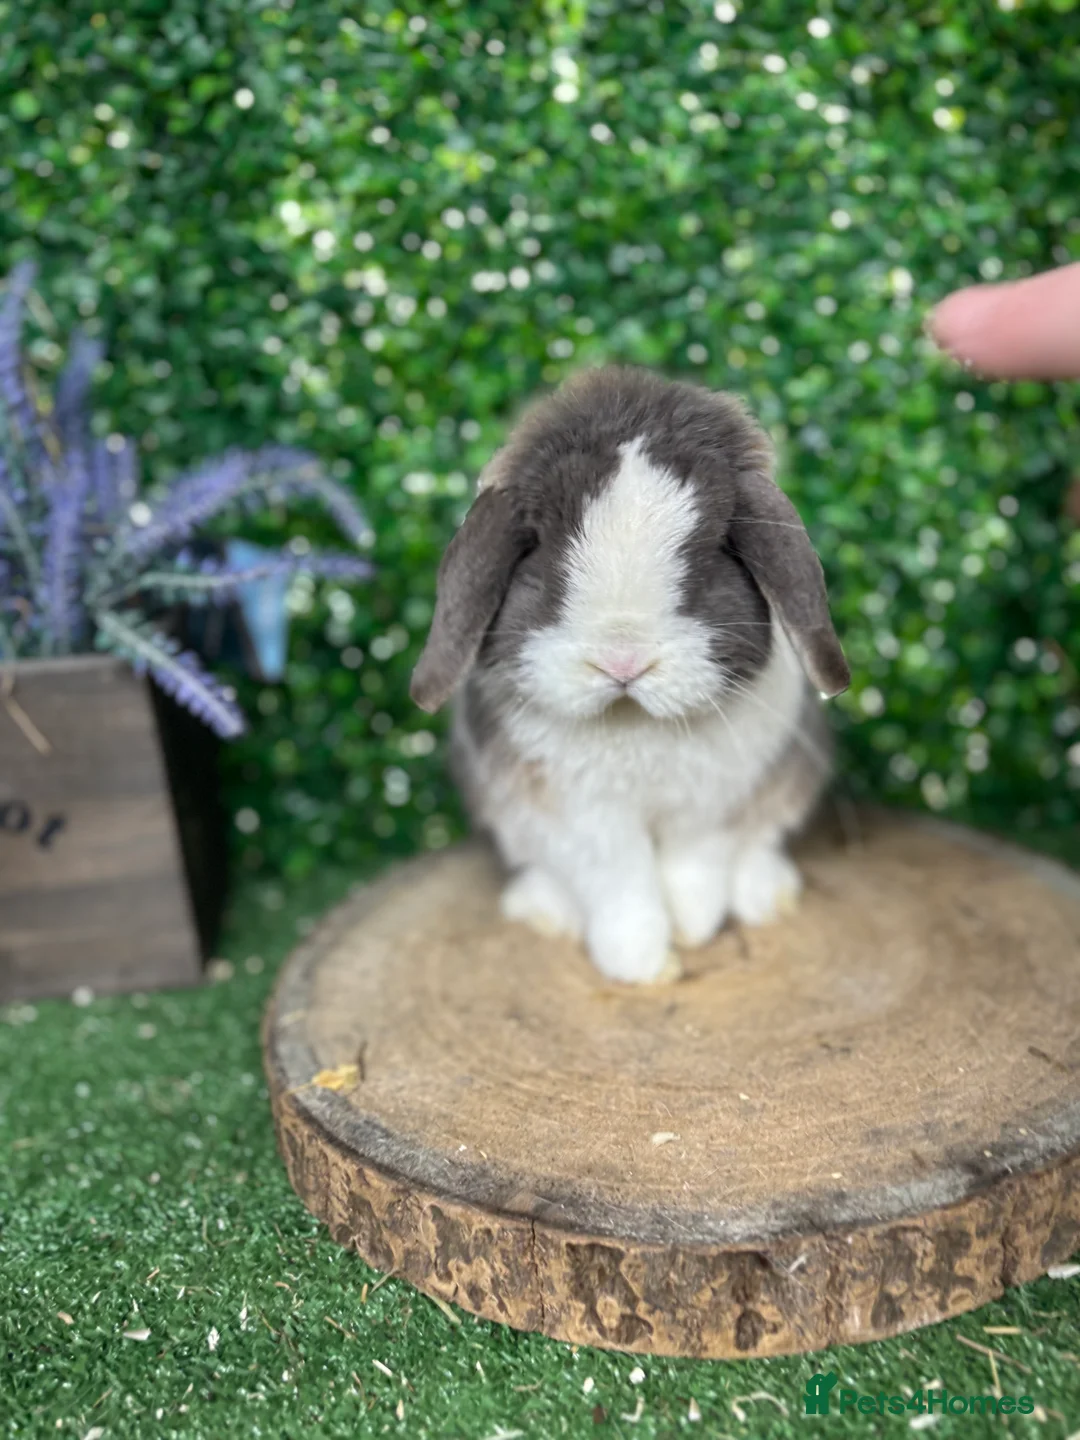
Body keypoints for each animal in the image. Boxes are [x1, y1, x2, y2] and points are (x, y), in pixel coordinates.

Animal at [410, 366, 849, 984]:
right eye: (540, 553)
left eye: (711, 555)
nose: (622, 661)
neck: (634, 722)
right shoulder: (580, 817)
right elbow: (621, 886)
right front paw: (645, 967)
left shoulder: (714, 804)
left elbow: (694, 866)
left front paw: (692, 929)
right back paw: (543, 912)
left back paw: (768, 897)